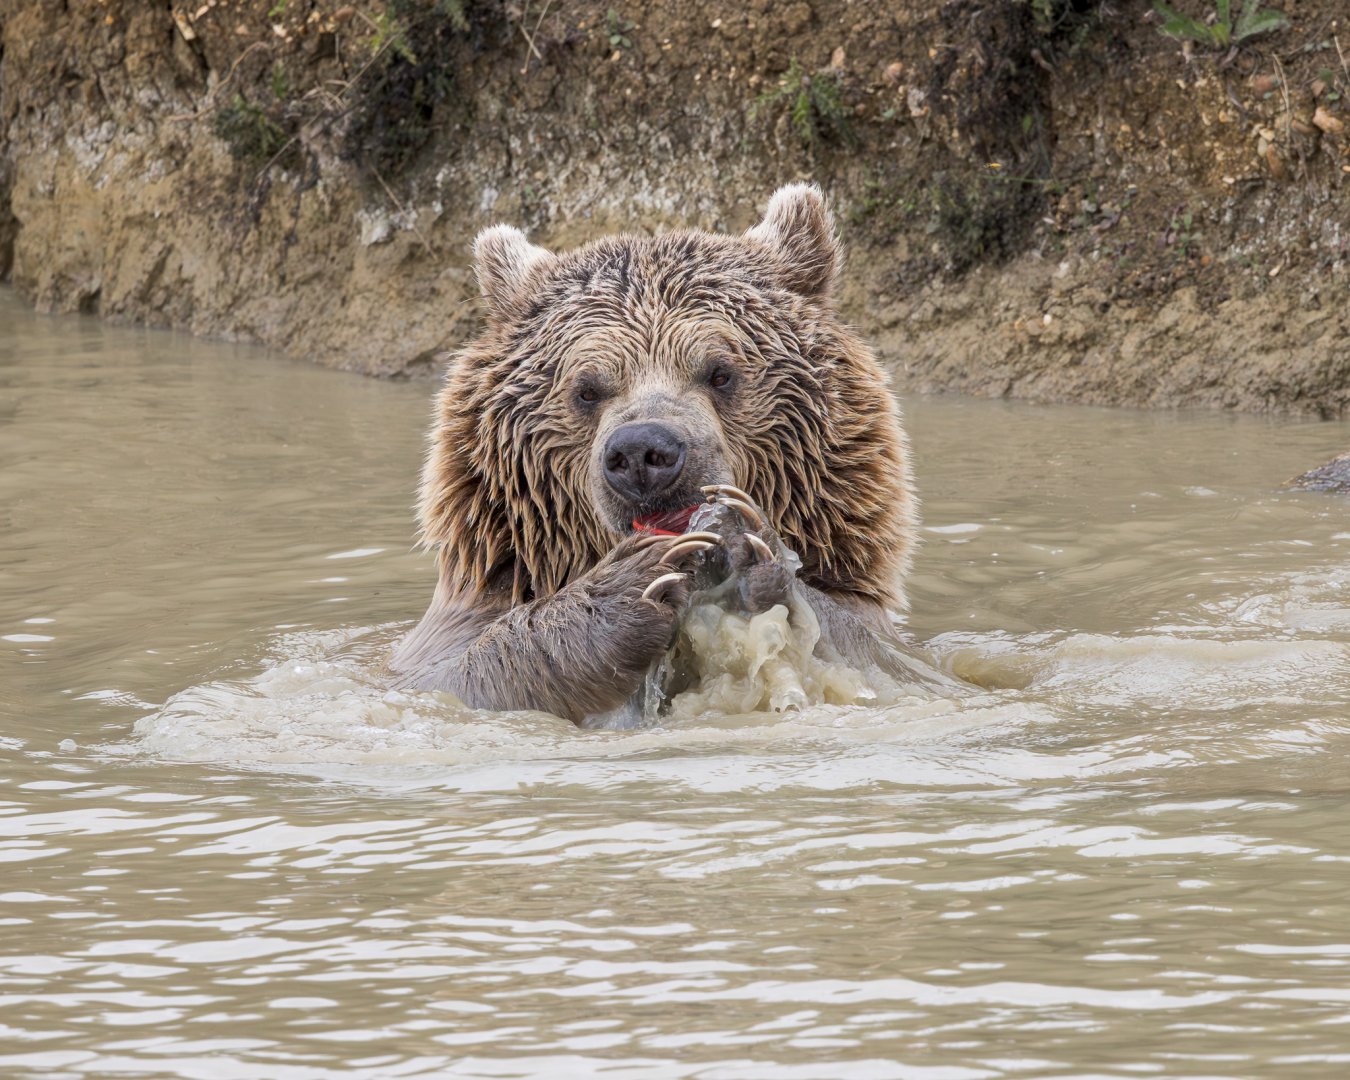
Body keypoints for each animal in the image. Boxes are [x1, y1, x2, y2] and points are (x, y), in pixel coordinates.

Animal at [389, 184, 918, 724]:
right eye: (587, 389)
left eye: (720, 372)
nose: (643, 451)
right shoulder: (453, 631)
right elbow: (461, 671)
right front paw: (633, 585)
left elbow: (880, 654)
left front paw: (752, 545)